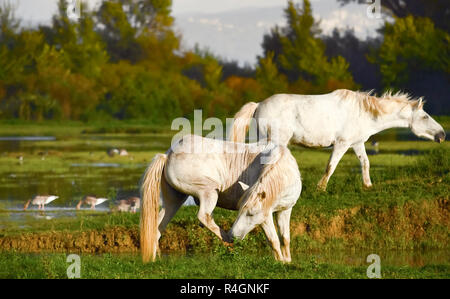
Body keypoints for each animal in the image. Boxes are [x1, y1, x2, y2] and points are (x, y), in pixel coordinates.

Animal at [140, 135, 302, 264]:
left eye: (250, 214)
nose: (234, 236)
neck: (284, 171)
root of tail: (167, 155)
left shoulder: (285, 210)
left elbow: (285, 238)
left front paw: (287, 261)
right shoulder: (265, 216)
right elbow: (273, 239)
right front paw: (280, 262)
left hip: (174, 201)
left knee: (156, 227)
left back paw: (153, 260)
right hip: (209, 191)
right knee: (204, 216)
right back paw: (227, 241)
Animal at [230, 89, 444, 192]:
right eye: (425, 116)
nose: (442, 135)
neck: (364, 112)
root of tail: (259, 104)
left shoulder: (357, 144)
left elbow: (365, 163)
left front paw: (368, 185)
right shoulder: (342, 144)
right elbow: (331, 166)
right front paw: (321, 188)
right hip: (275, 142)